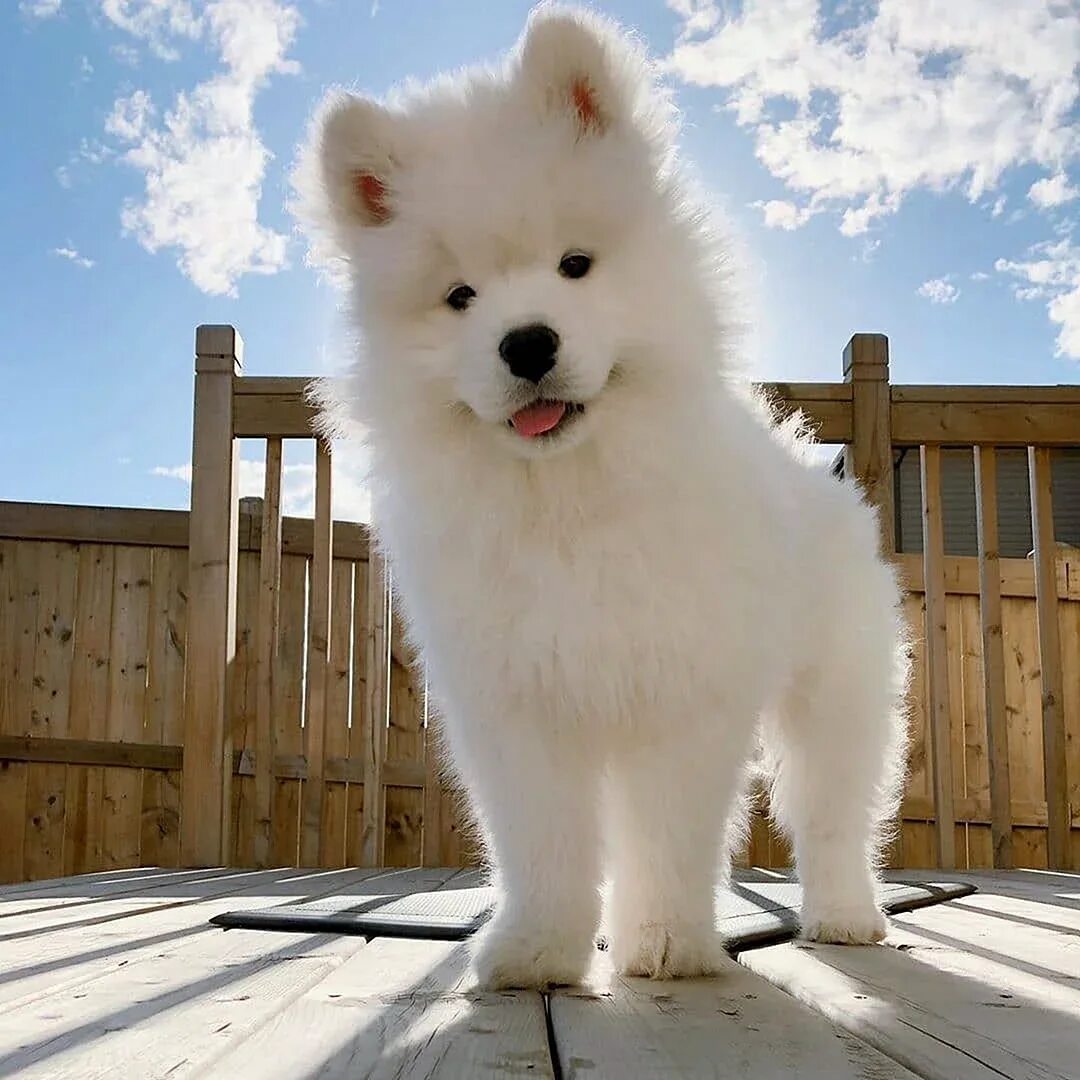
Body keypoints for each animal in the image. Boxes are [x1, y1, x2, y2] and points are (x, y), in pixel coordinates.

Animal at [293, 0, 902, 989]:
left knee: (833, 815)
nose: (526, 342)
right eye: (460, 297)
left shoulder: (681, 694)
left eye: (575, 265)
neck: (570, 499)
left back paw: (847, 916)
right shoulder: (518, 705)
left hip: (838, 695)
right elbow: (545, 843)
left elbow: (668, 835)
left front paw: (665, 944)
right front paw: (539, 950)